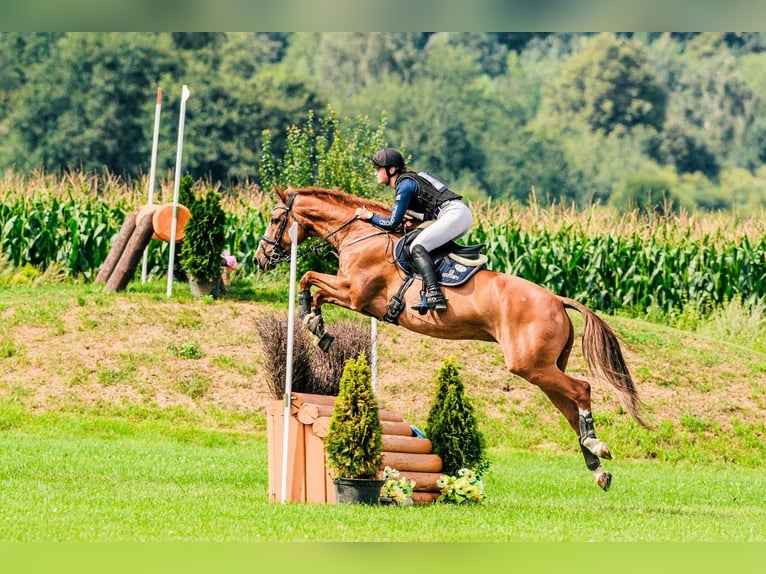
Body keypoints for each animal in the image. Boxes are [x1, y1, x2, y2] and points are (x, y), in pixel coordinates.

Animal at [255, 187, 652, 492]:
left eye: (275, 219)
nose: (261, 259)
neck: (360, 235)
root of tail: (556, 299)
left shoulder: (355, 294)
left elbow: (308, 277)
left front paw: (313, 321)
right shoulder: (352, 295)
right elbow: (314, 286)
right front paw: (317, 326)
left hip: (529, 364)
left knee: (582, 389)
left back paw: (597, 446)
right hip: (542, 368)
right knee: (570, 408)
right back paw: (597, 466)